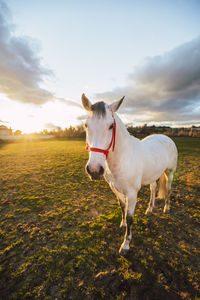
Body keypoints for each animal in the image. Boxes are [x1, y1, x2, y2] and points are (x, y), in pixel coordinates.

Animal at [81, 94, 178, 255]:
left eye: (111, 126)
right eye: (86, 125)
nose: (94, 169)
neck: (123, 158)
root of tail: (166, 137)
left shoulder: (132, 193)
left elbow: (130, 216)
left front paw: (125, 245)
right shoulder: (114, 188)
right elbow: (122, 207)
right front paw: (122, 224)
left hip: (169, 173)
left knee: (169, 189)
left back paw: (167, 208)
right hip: (153, 175)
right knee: (153, 188)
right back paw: (149, 209)